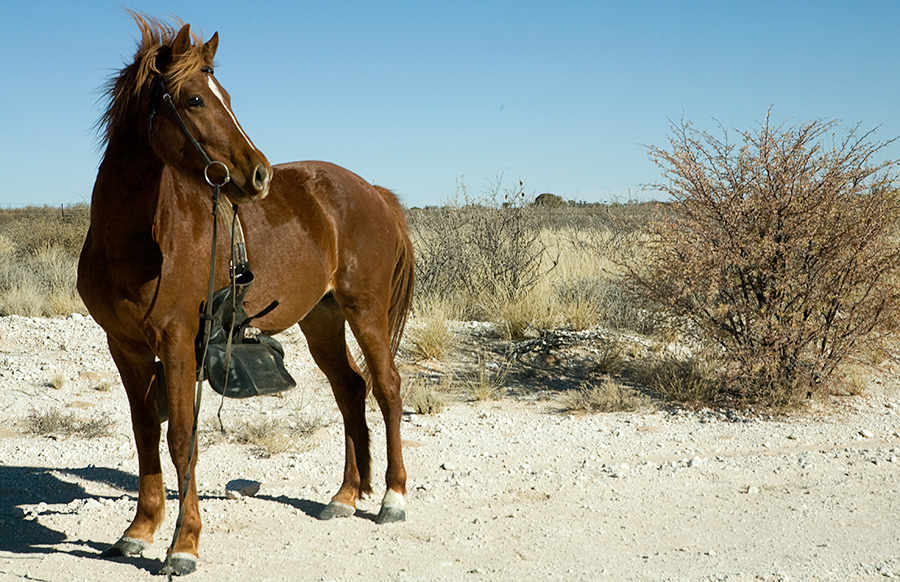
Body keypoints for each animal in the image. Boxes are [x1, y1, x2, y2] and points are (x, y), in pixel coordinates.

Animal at [77, 12, 414, 576]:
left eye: (226, 95)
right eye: (194, 99)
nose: (259, 173)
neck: (134, 240)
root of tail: (372, 192)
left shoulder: (177, 342)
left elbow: (182, 439)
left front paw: (184, 544)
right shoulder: (124, 348)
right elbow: (145, 435)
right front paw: (139, 530)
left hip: (365, 312)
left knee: (386, 387)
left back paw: (393, 497)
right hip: (322, 319)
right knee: (350, 390)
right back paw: (345, 496)